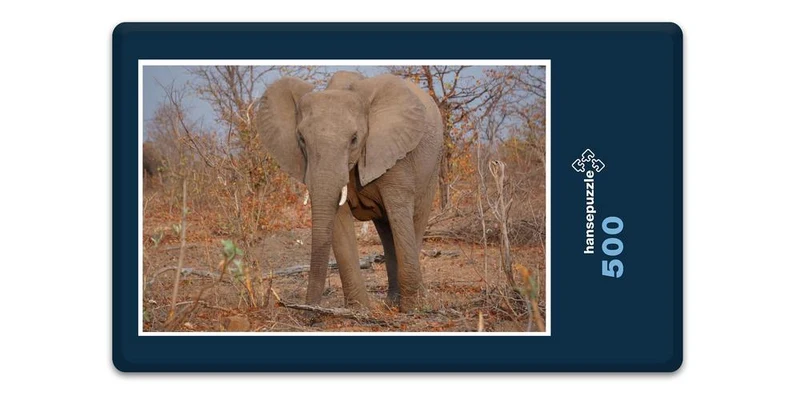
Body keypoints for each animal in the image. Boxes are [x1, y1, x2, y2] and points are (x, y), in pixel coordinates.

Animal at [255, 71, 443, 312]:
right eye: (302, 139)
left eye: (354, 139)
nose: (308, 310)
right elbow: (338, 223)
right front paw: (358, 310)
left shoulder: (396, 155)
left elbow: (400, 213)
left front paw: (414, 309)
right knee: (386, 230)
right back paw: (391, 303)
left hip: (432, 164)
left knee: (414, 220)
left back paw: (407, 303)